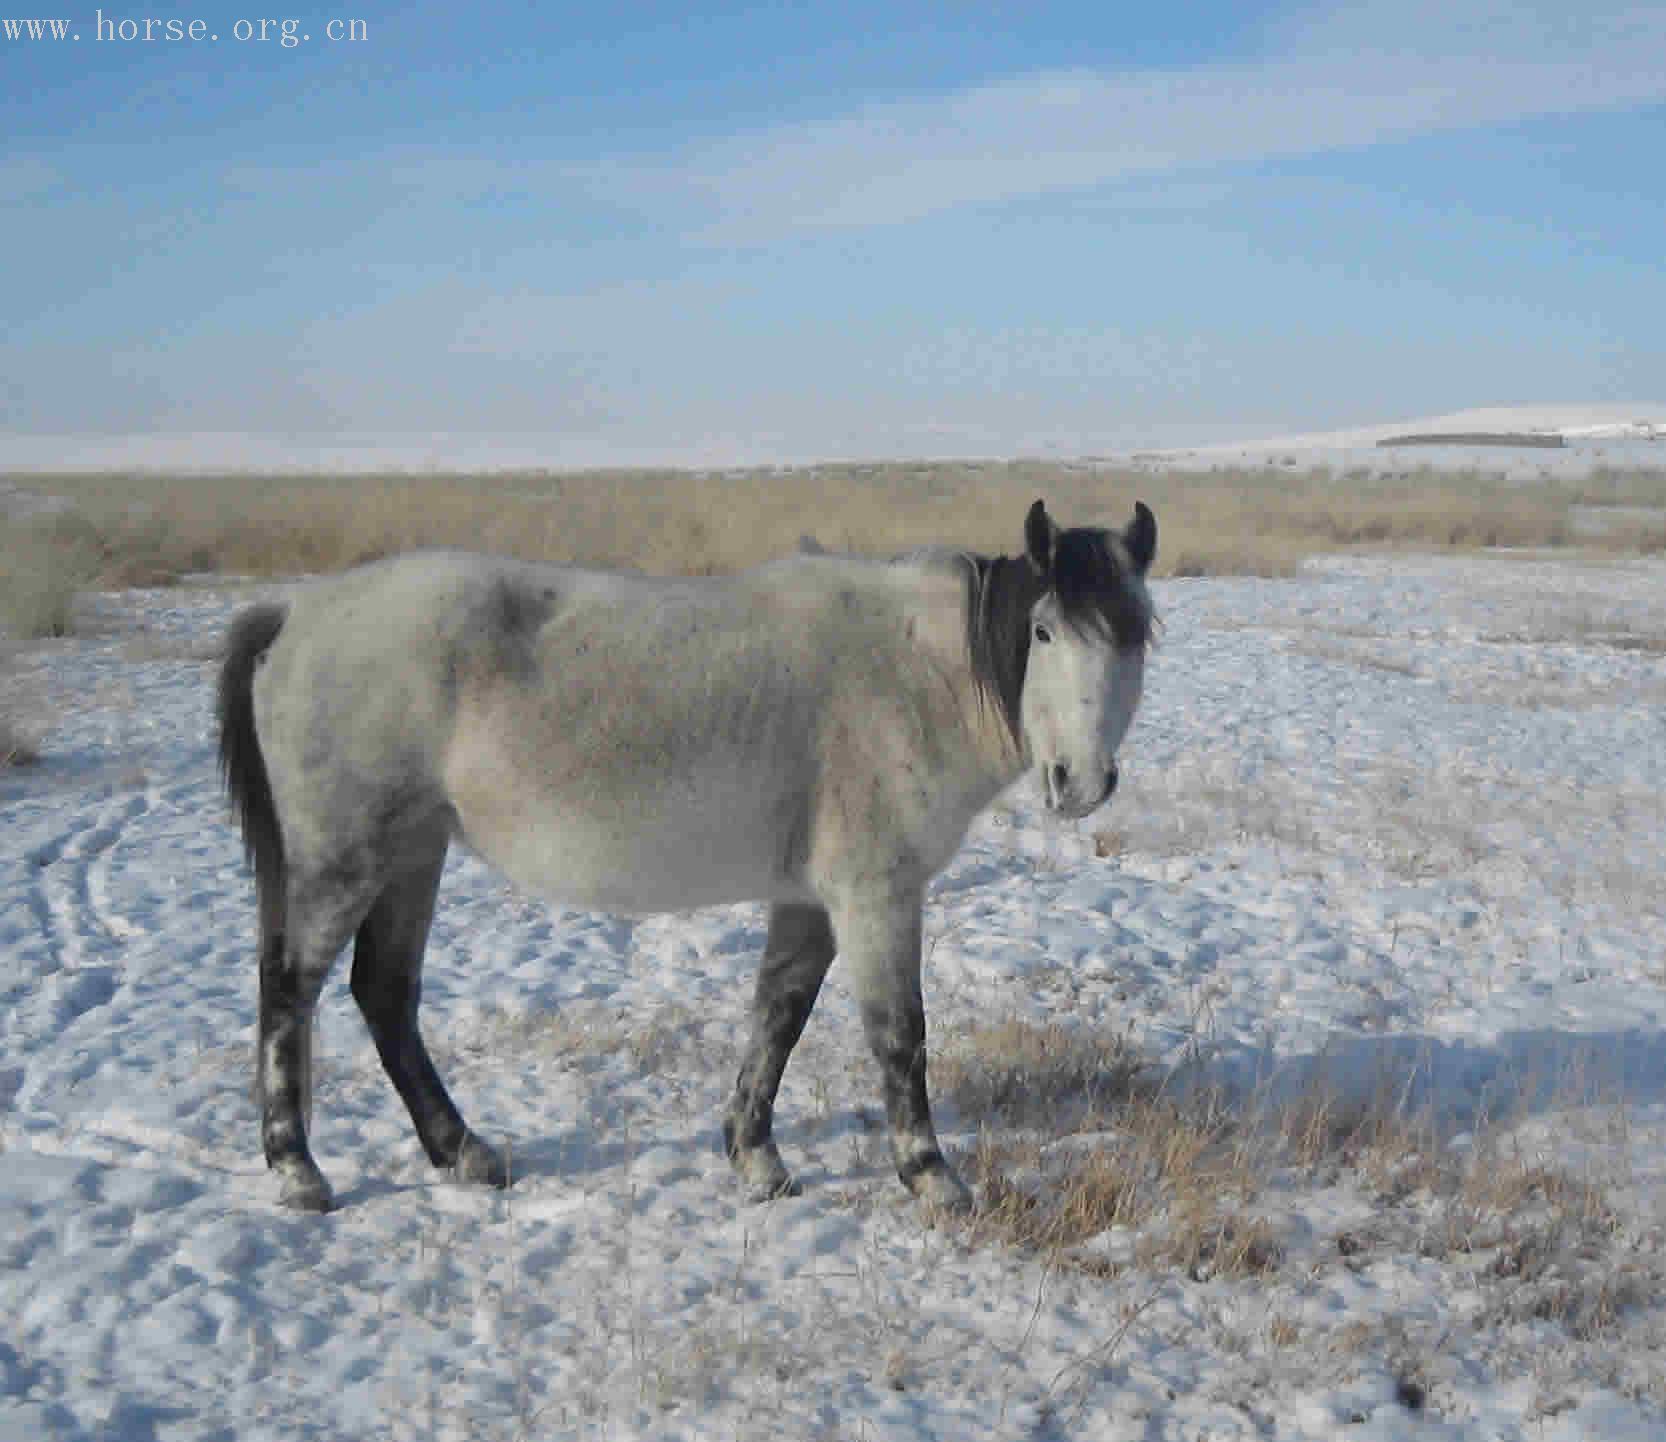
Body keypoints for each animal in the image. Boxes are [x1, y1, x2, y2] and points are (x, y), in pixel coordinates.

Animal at [218, 492, 1159, 1205]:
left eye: (1136, 634)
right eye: (1044, 632)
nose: (1080, 782)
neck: (916, 673)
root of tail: (295, 611)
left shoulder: (810, 899)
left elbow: (778, 1015)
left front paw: (755, 1156)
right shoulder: (875, 894)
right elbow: (900, 1034)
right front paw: (930, 1175)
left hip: (413, 854)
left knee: (384, 994)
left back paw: (464, 1152)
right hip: (345, 859)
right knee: (290, 989)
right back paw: (298, 1169)